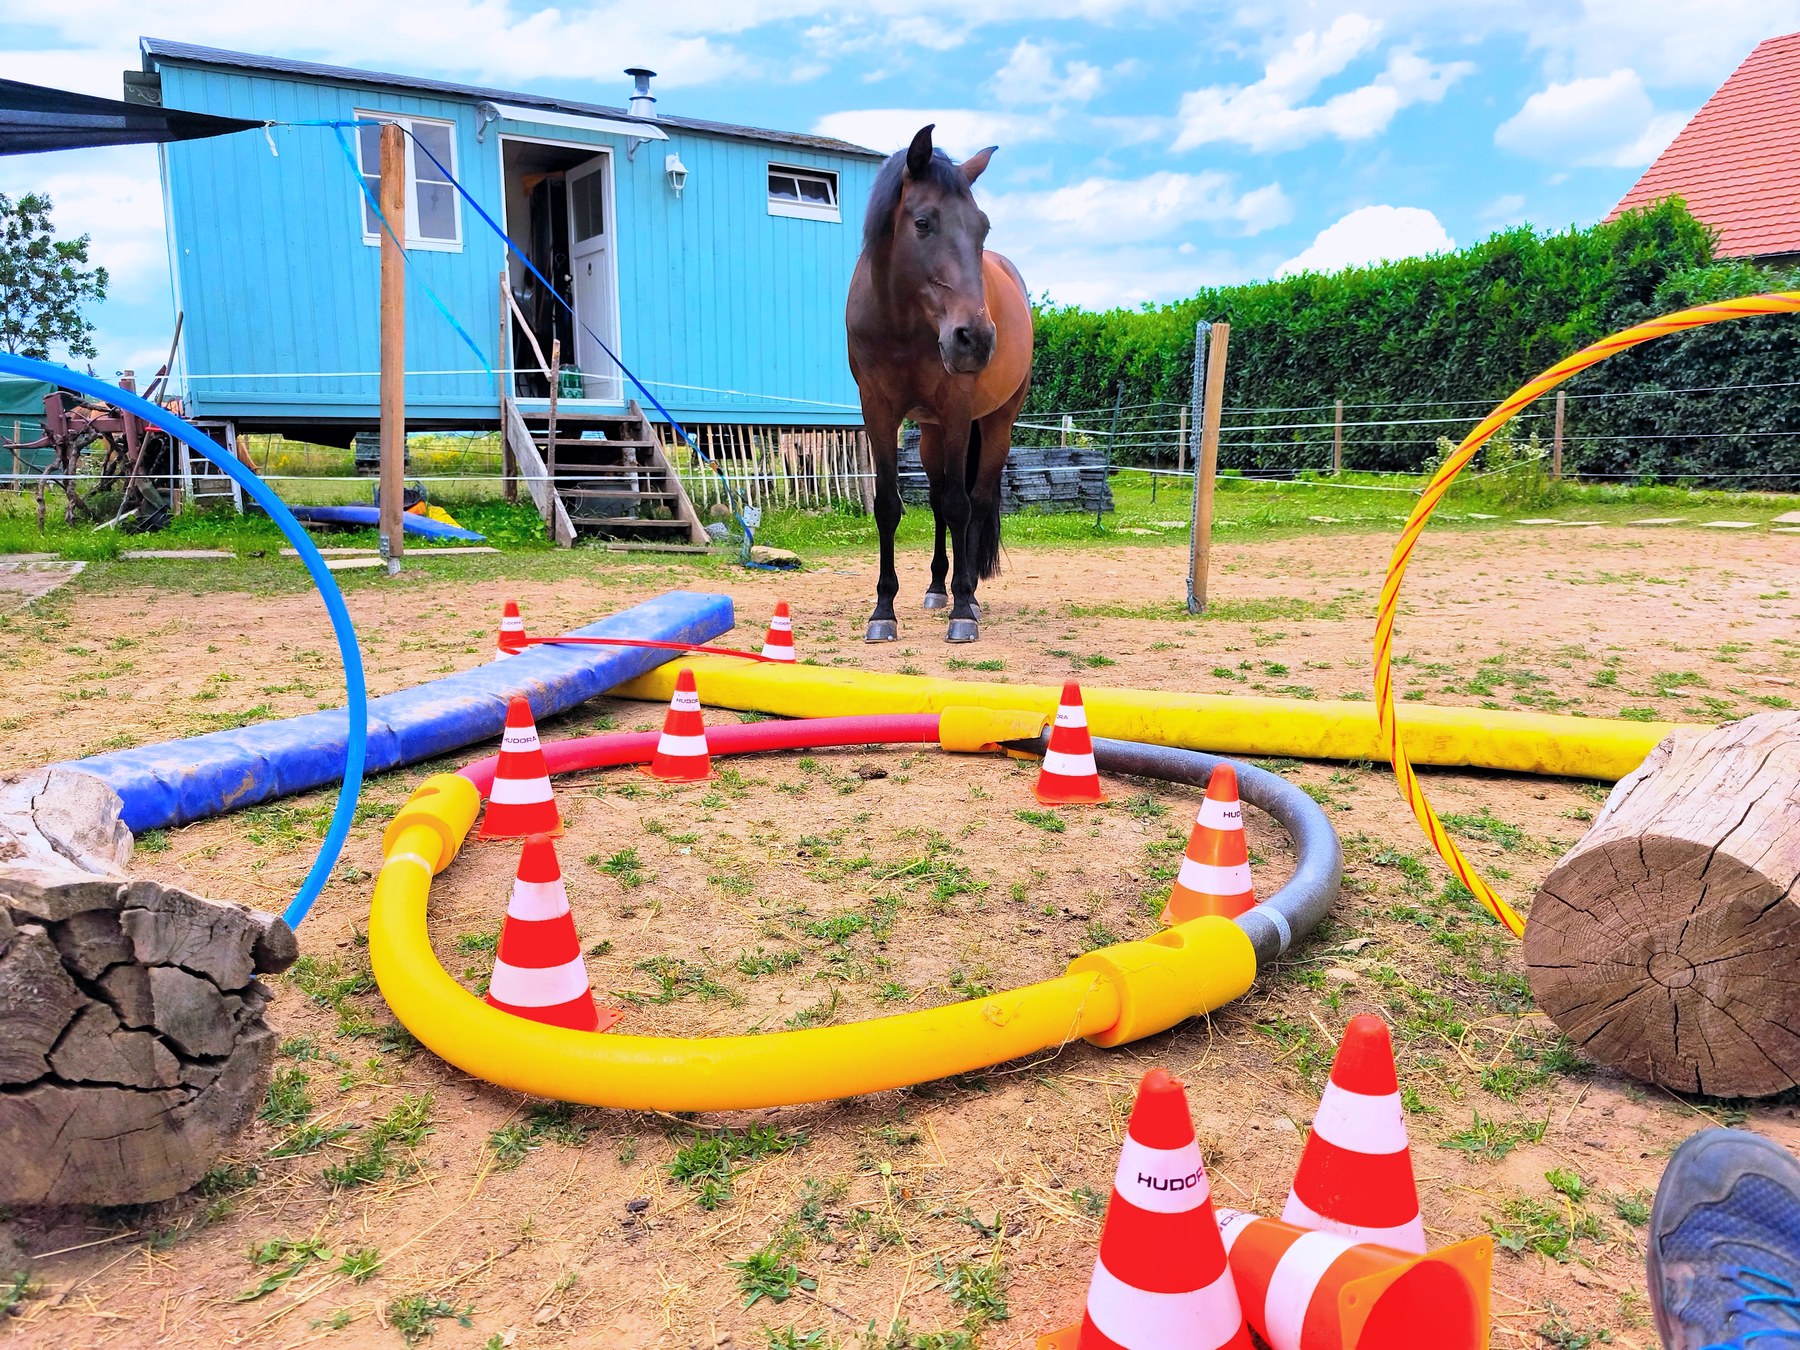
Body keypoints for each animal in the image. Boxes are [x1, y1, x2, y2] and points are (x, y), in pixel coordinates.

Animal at [846, 124, 1032, 644]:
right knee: (934, 501)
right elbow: (889, 505)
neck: (902, 327)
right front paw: (883, 611)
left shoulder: (955, 411)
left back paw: (969, 594)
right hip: (928, 433)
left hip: (994, 424)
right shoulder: (878, 412)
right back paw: (937, 587)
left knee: (976, 500)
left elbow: (959, 504)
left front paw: (964, 610)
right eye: (923, 223)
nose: (976, 339)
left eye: (982, 228)